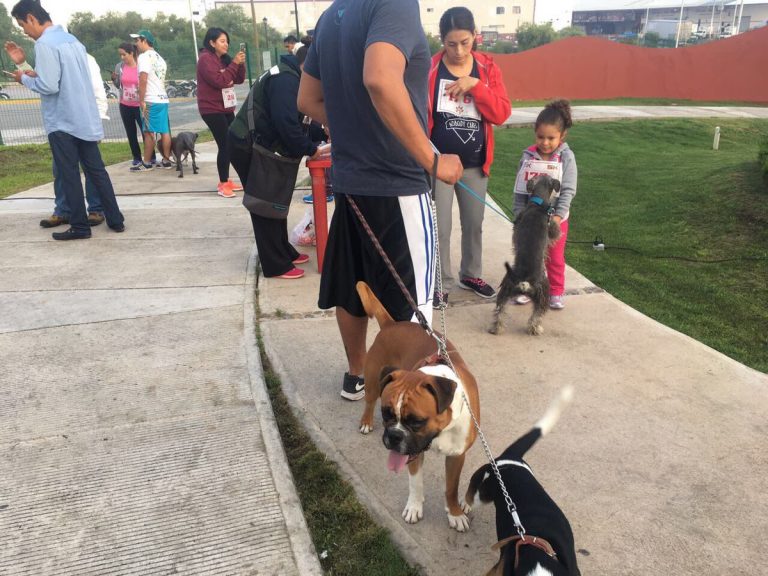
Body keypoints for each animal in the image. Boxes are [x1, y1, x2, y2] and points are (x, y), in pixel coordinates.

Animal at [356, 282, 480, 528]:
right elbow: (416, 483)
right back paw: (366, 421)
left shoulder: (456, 456)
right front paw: (414, 507)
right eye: (387, 414)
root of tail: (392, 324)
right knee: (369, 400)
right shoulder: (412, 453)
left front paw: (454, 513)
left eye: (417, 421)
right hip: (374, 381)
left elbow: (451, 489)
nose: (394, 436)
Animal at [488, 176, 560, 338]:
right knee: (536, 315)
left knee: (500, 312)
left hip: (505, 290)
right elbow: (556, 233)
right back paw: (536, 329)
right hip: (543, 296)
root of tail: (525, 282)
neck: (538, 202)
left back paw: (496, 329)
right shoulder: (552, 227)